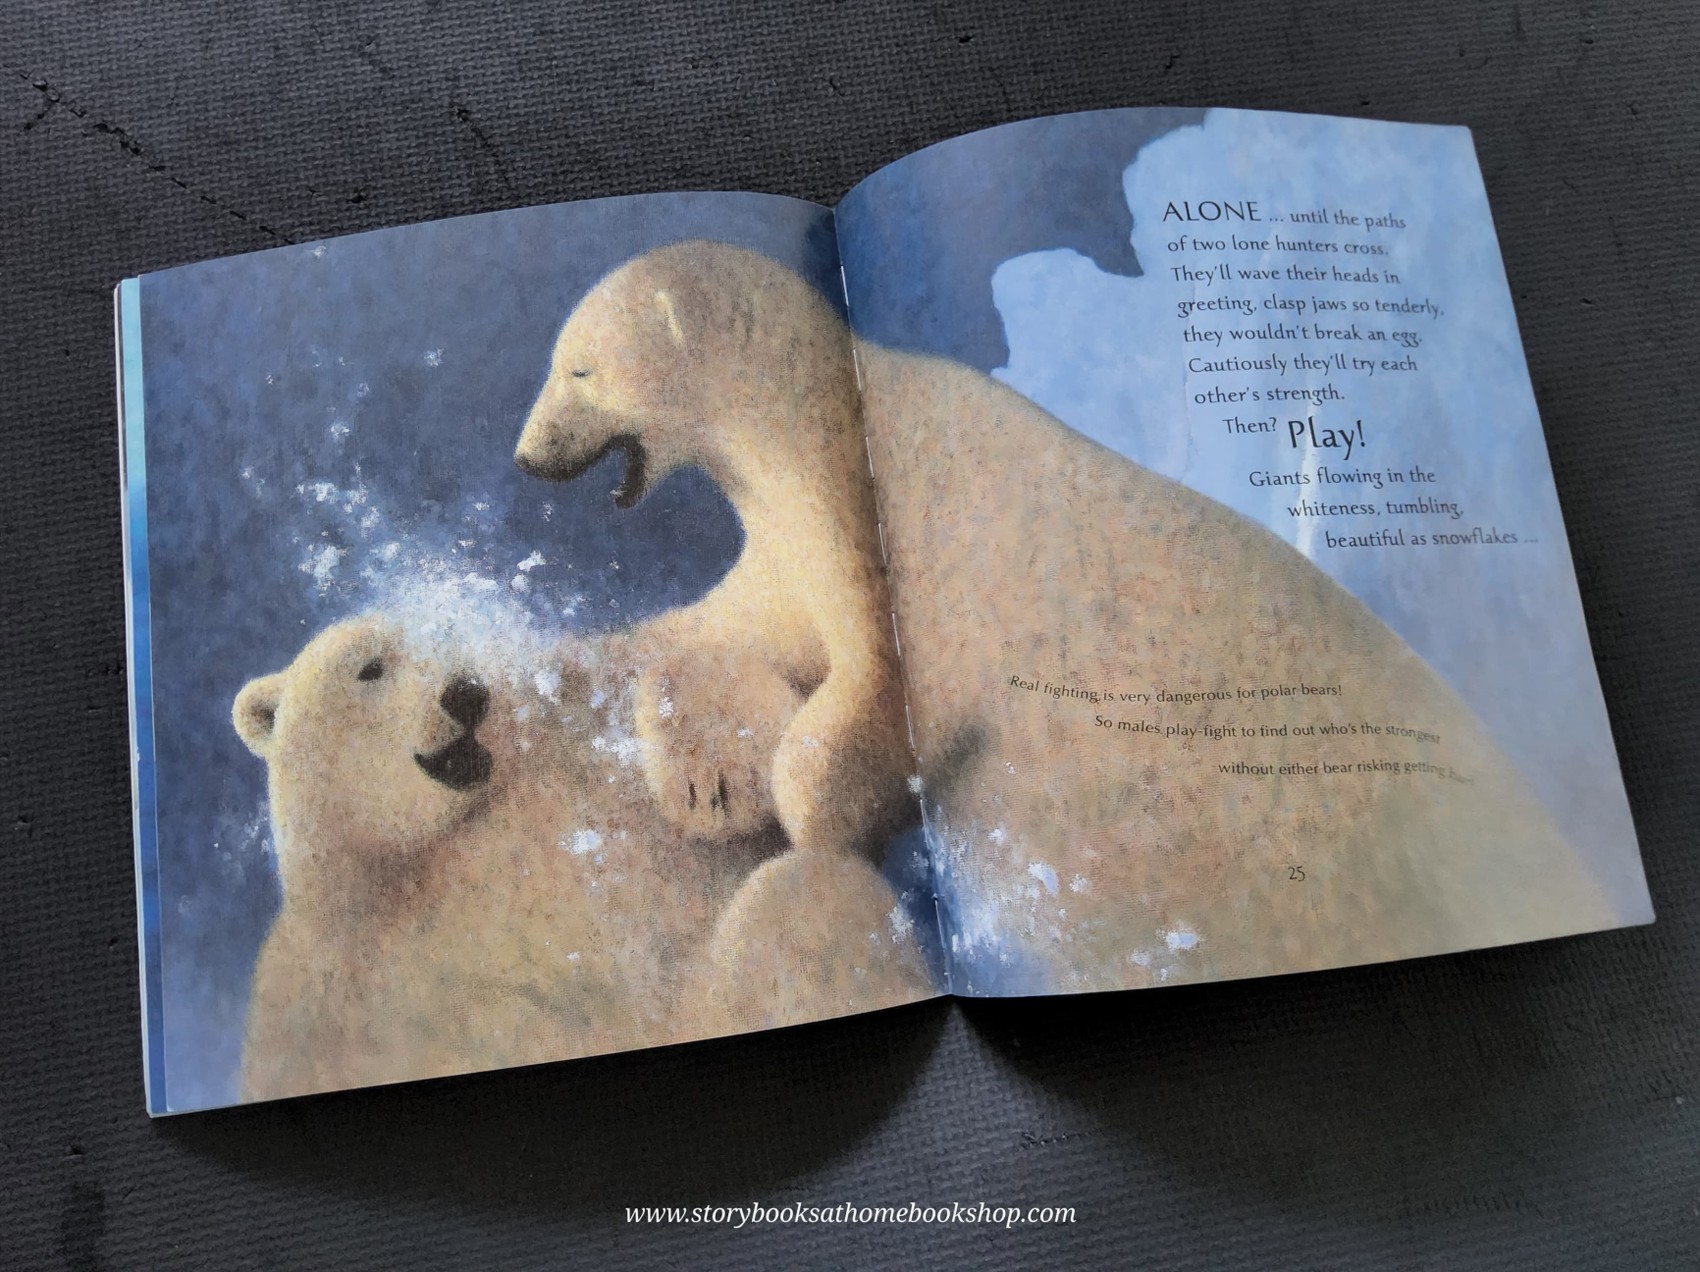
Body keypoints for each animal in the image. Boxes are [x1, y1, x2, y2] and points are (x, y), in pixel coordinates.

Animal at [231, 612, 932, 1102]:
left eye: (462, 640)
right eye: (370, 667)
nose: (466, 692)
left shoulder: (579, 737)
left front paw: (717, 782)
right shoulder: (322, 986)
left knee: (802, 901)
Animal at [513, 239, 1619, 996]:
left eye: (578, 369)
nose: (527, 458)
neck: (830, 428)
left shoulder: (886, 537)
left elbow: (877, 695)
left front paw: (803, 805)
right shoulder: (783, 549)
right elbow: (717, 636)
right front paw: (692, 764)